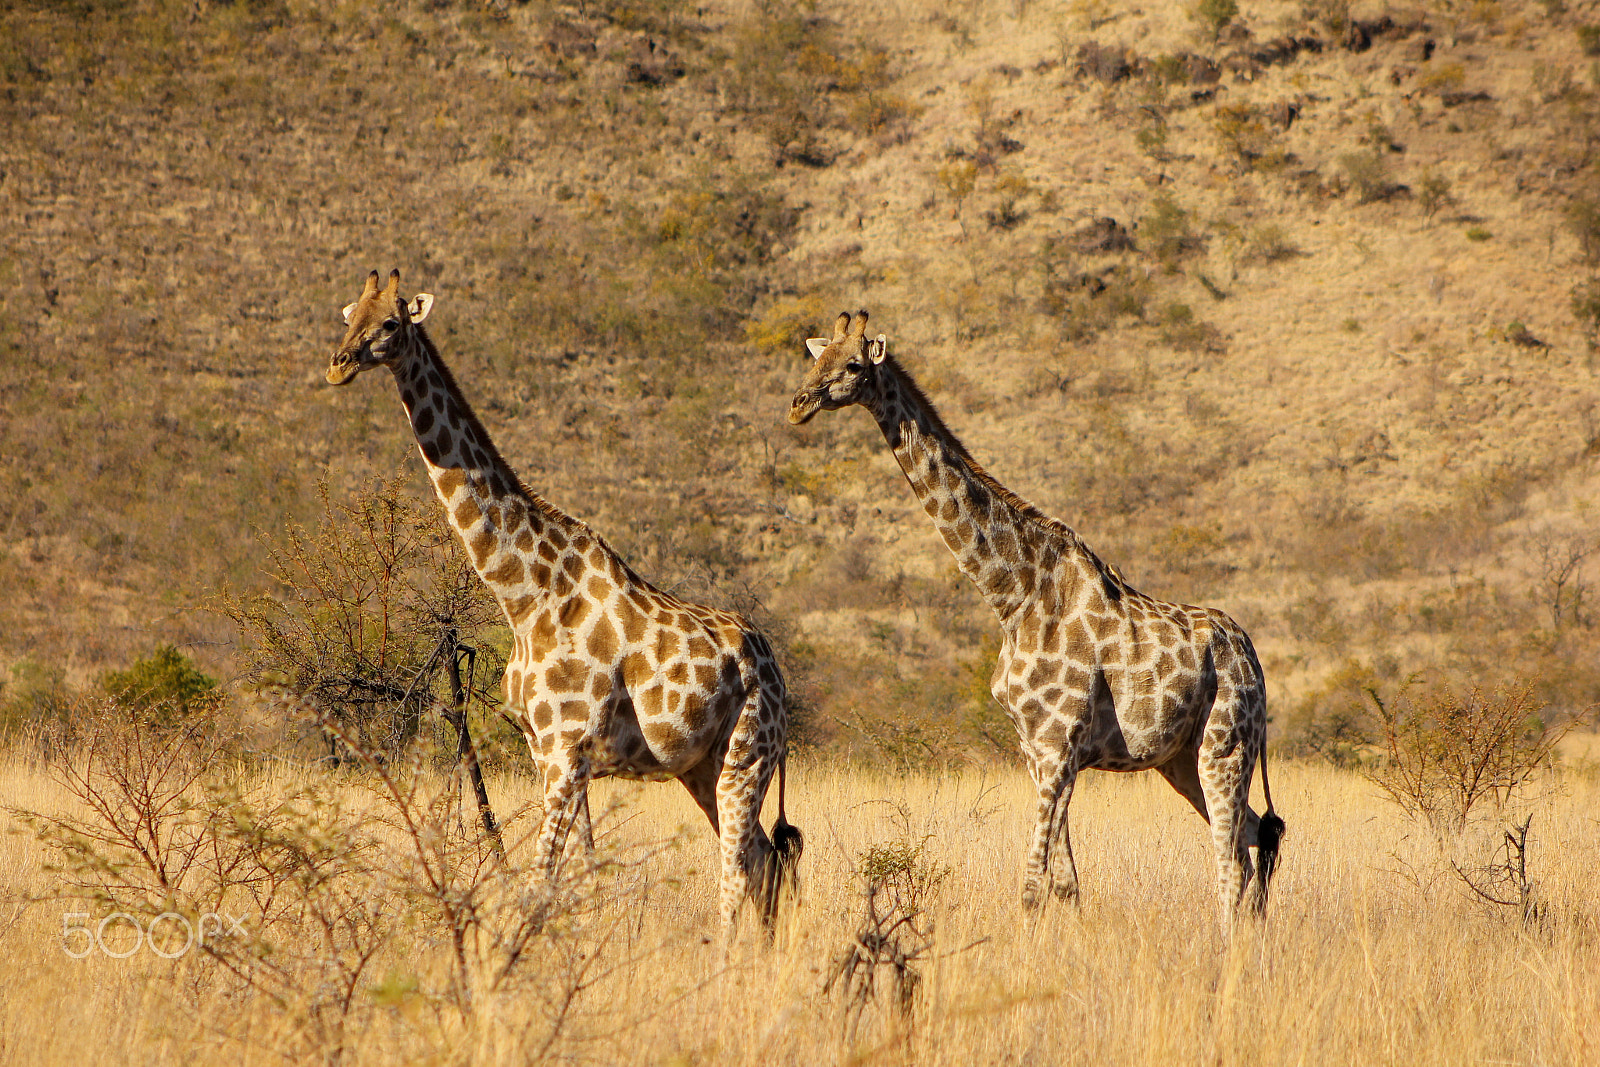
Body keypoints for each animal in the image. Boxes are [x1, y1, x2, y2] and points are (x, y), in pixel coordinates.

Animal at [325, 270, 801, 931]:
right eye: (348, 314)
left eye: (390, 322)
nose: (338, 365)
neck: (523, 596)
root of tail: (776, 669)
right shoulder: (543, 750)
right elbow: (580, 870)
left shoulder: (567, 749)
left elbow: (541, 878)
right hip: (702, 764)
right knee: (761, 856)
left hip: (748, 752)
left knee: (737, 866)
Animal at [787, 310, 1283, 934]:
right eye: (815, 359)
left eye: (853, 365)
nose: (799, 404)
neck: (1014, 597)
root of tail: (1253, 657)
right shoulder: (1036, 748)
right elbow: (1066, 884)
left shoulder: (1056, 743)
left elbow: (1029, 885)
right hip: (1181, 757)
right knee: (1251, 837)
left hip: (1226, 743)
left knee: (1231, 855)